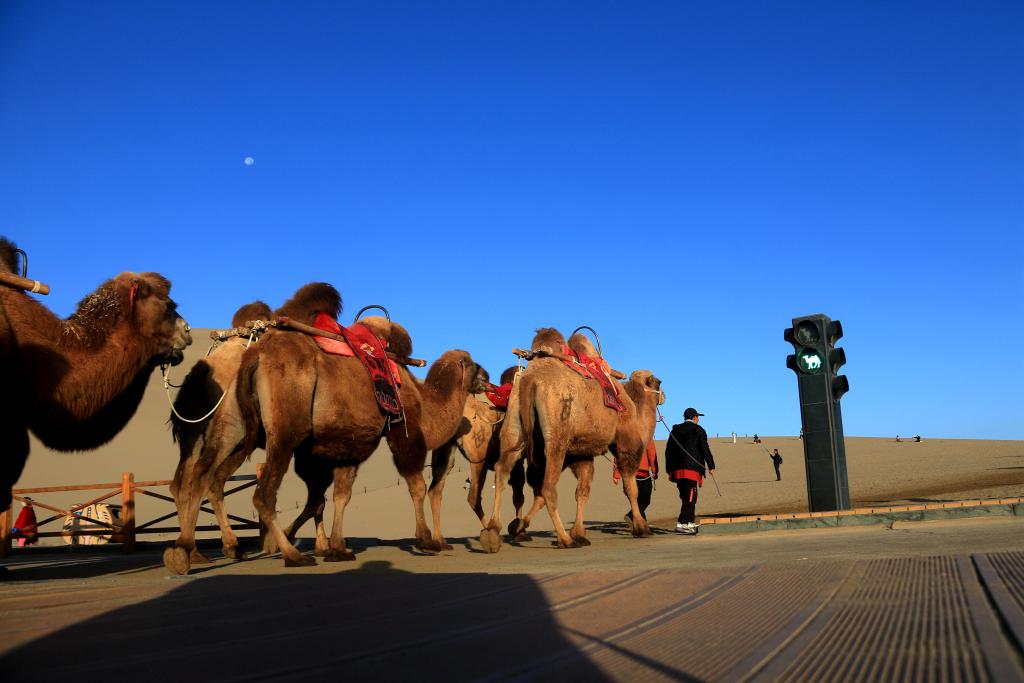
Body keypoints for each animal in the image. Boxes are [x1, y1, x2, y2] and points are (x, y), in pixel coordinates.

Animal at [233, 290, 487, 569]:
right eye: (472, 364)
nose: (487, 377)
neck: (424, 400)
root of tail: (258, 353)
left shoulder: (349, 445)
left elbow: (340, 496)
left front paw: (337, 549)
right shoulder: (404, 431)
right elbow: (417, 485)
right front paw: (426, 541)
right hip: (285, 432)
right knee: (264, 494)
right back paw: (292, 554)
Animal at [479, 327, 663, 557]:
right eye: (658, 382)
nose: (663, 395)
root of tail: (531, 380)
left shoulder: (581, 453)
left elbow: (582, 491)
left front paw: (577, 533)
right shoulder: (626, 442)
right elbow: (631, 487)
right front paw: (641, 527)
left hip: (514, 420)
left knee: (503, 469)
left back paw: (492, 532)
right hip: (557, 433)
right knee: (548, 487)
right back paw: (565, 540)